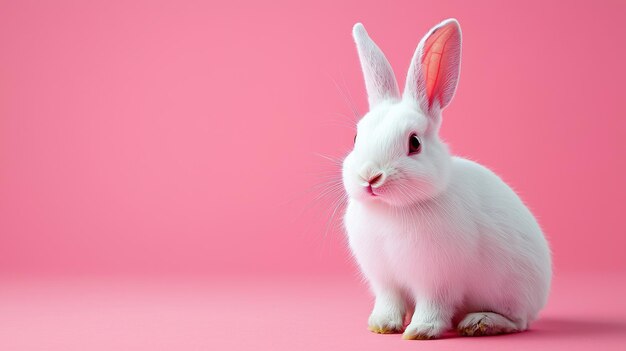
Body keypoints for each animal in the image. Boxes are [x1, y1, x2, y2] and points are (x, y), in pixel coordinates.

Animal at [342, 20, 552, 340]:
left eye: (414, 143)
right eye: (356, 137)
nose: (370, 177)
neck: (392, 210)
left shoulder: (437, 281)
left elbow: (433, 306)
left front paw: (420, 331)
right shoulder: (385, 280)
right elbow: (389, 302)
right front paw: (381, 325)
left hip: (512, 292)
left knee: (519, 322)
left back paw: (480, 322)